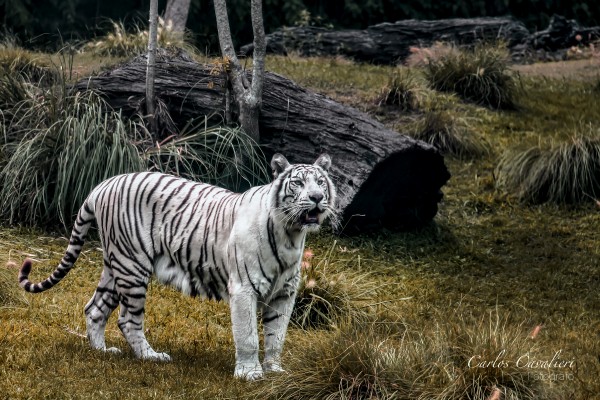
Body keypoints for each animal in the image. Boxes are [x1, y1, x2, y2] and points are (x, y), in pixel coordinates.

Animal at [17, 154, 338, 382]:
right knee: (128, 320)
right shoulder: (244, 288)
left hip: (116, 264)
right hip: (132, 266)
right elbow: (248, 336)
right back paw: (151, 356)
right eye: (298, 183)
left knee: (94, 308)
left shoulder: (285, 293)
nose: (318, 198)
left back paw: (102, 351)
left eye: (320, 183)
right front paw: (250, 374)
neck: (291, 234)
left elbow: (277, 336)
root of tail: (103, 185)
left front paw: (274, 371)